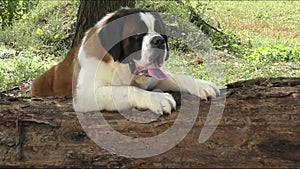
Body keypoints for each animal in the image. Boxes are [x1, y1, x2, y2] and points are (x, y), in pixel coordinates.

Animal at [30, 7, 221, 114]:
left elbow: (177, 77)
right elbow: (126, 90)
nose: (158, 40)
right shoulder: (84, 95)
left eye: (160, 32)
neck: (117, 65)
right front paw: (157, 99)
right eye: (137, 34)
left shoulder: (153, 79)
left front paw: (202, 85)